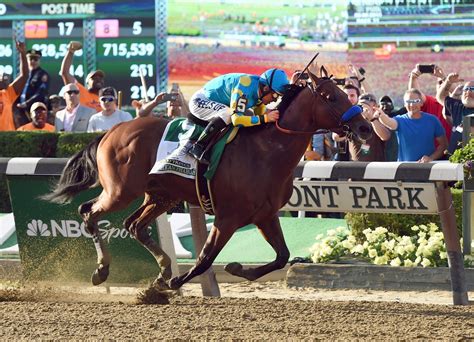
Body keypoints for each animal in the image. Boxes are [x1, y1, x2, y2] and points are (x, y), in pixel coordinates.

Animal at [42, 71, 372, 290]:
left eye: (345, 94)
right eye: (331, 97)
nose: (365, 128)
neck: (266, 152)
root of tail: (112, 131)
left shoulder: (265, 215)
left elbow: (282, 256)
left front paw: (237, 268)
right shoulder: (228, 217)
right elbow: (204, 259)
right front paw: (173, 284)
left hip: (160, 195)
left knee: (134, 225)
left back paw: (162, 269)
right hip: (120, 191)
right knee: (89, 212)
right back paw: (103, 270)